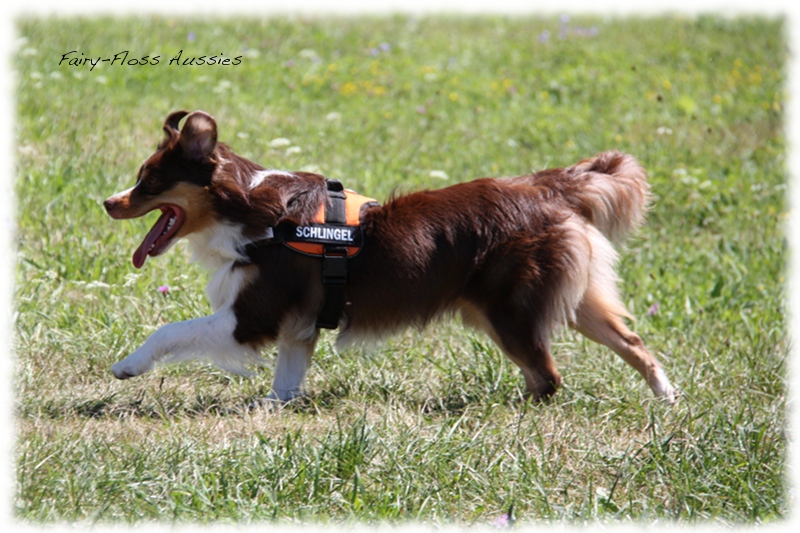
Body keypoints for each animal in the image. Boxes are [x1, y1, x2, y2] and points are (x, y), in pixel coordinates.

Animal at [101, 111, 676, 404]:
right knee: (632, 341)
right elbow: (286, 381)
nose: (106, 202)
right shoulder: (298, 326)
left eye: (149, 181)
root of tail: (546, 187)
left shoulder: (252, 316)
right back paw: (667, 398)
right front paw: (275, 409)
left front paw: (128, 366)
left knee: (547, 378)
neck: (250, 210)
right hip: (570, 300)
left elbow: (170, 330)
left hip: (507, 312)